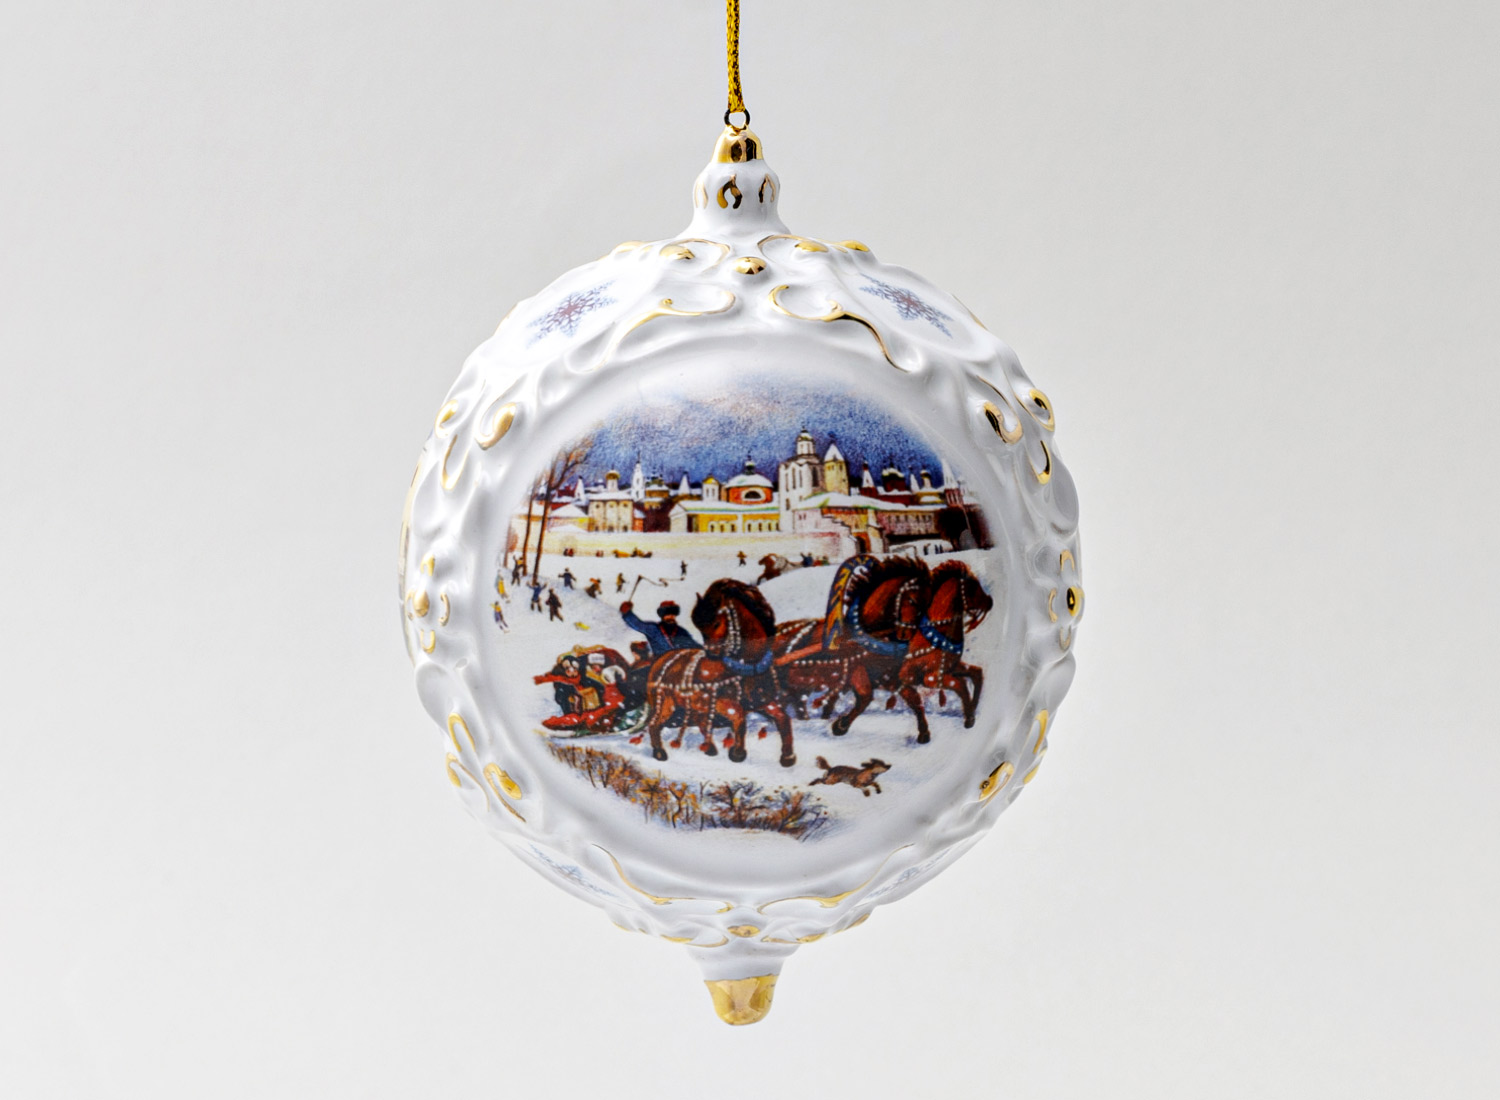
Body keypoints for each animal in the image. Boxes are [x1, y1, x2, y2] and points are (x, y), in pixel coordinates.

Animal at [642, 578, 796, 766]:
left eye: (716, 623)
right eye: (700, 629)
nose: (711, 654)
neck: (748, 665)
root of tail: (661, 660)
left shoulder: (762, 700)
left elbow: (783, 718)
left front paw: (788, 757)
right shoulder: (720, 701)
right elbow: (739, 716)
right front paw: (737, 752)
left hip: (695, 705)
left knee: (700, 721)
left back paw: (709, 748)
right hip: (666, 703)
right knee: (654, 724)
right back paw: (659, 752)